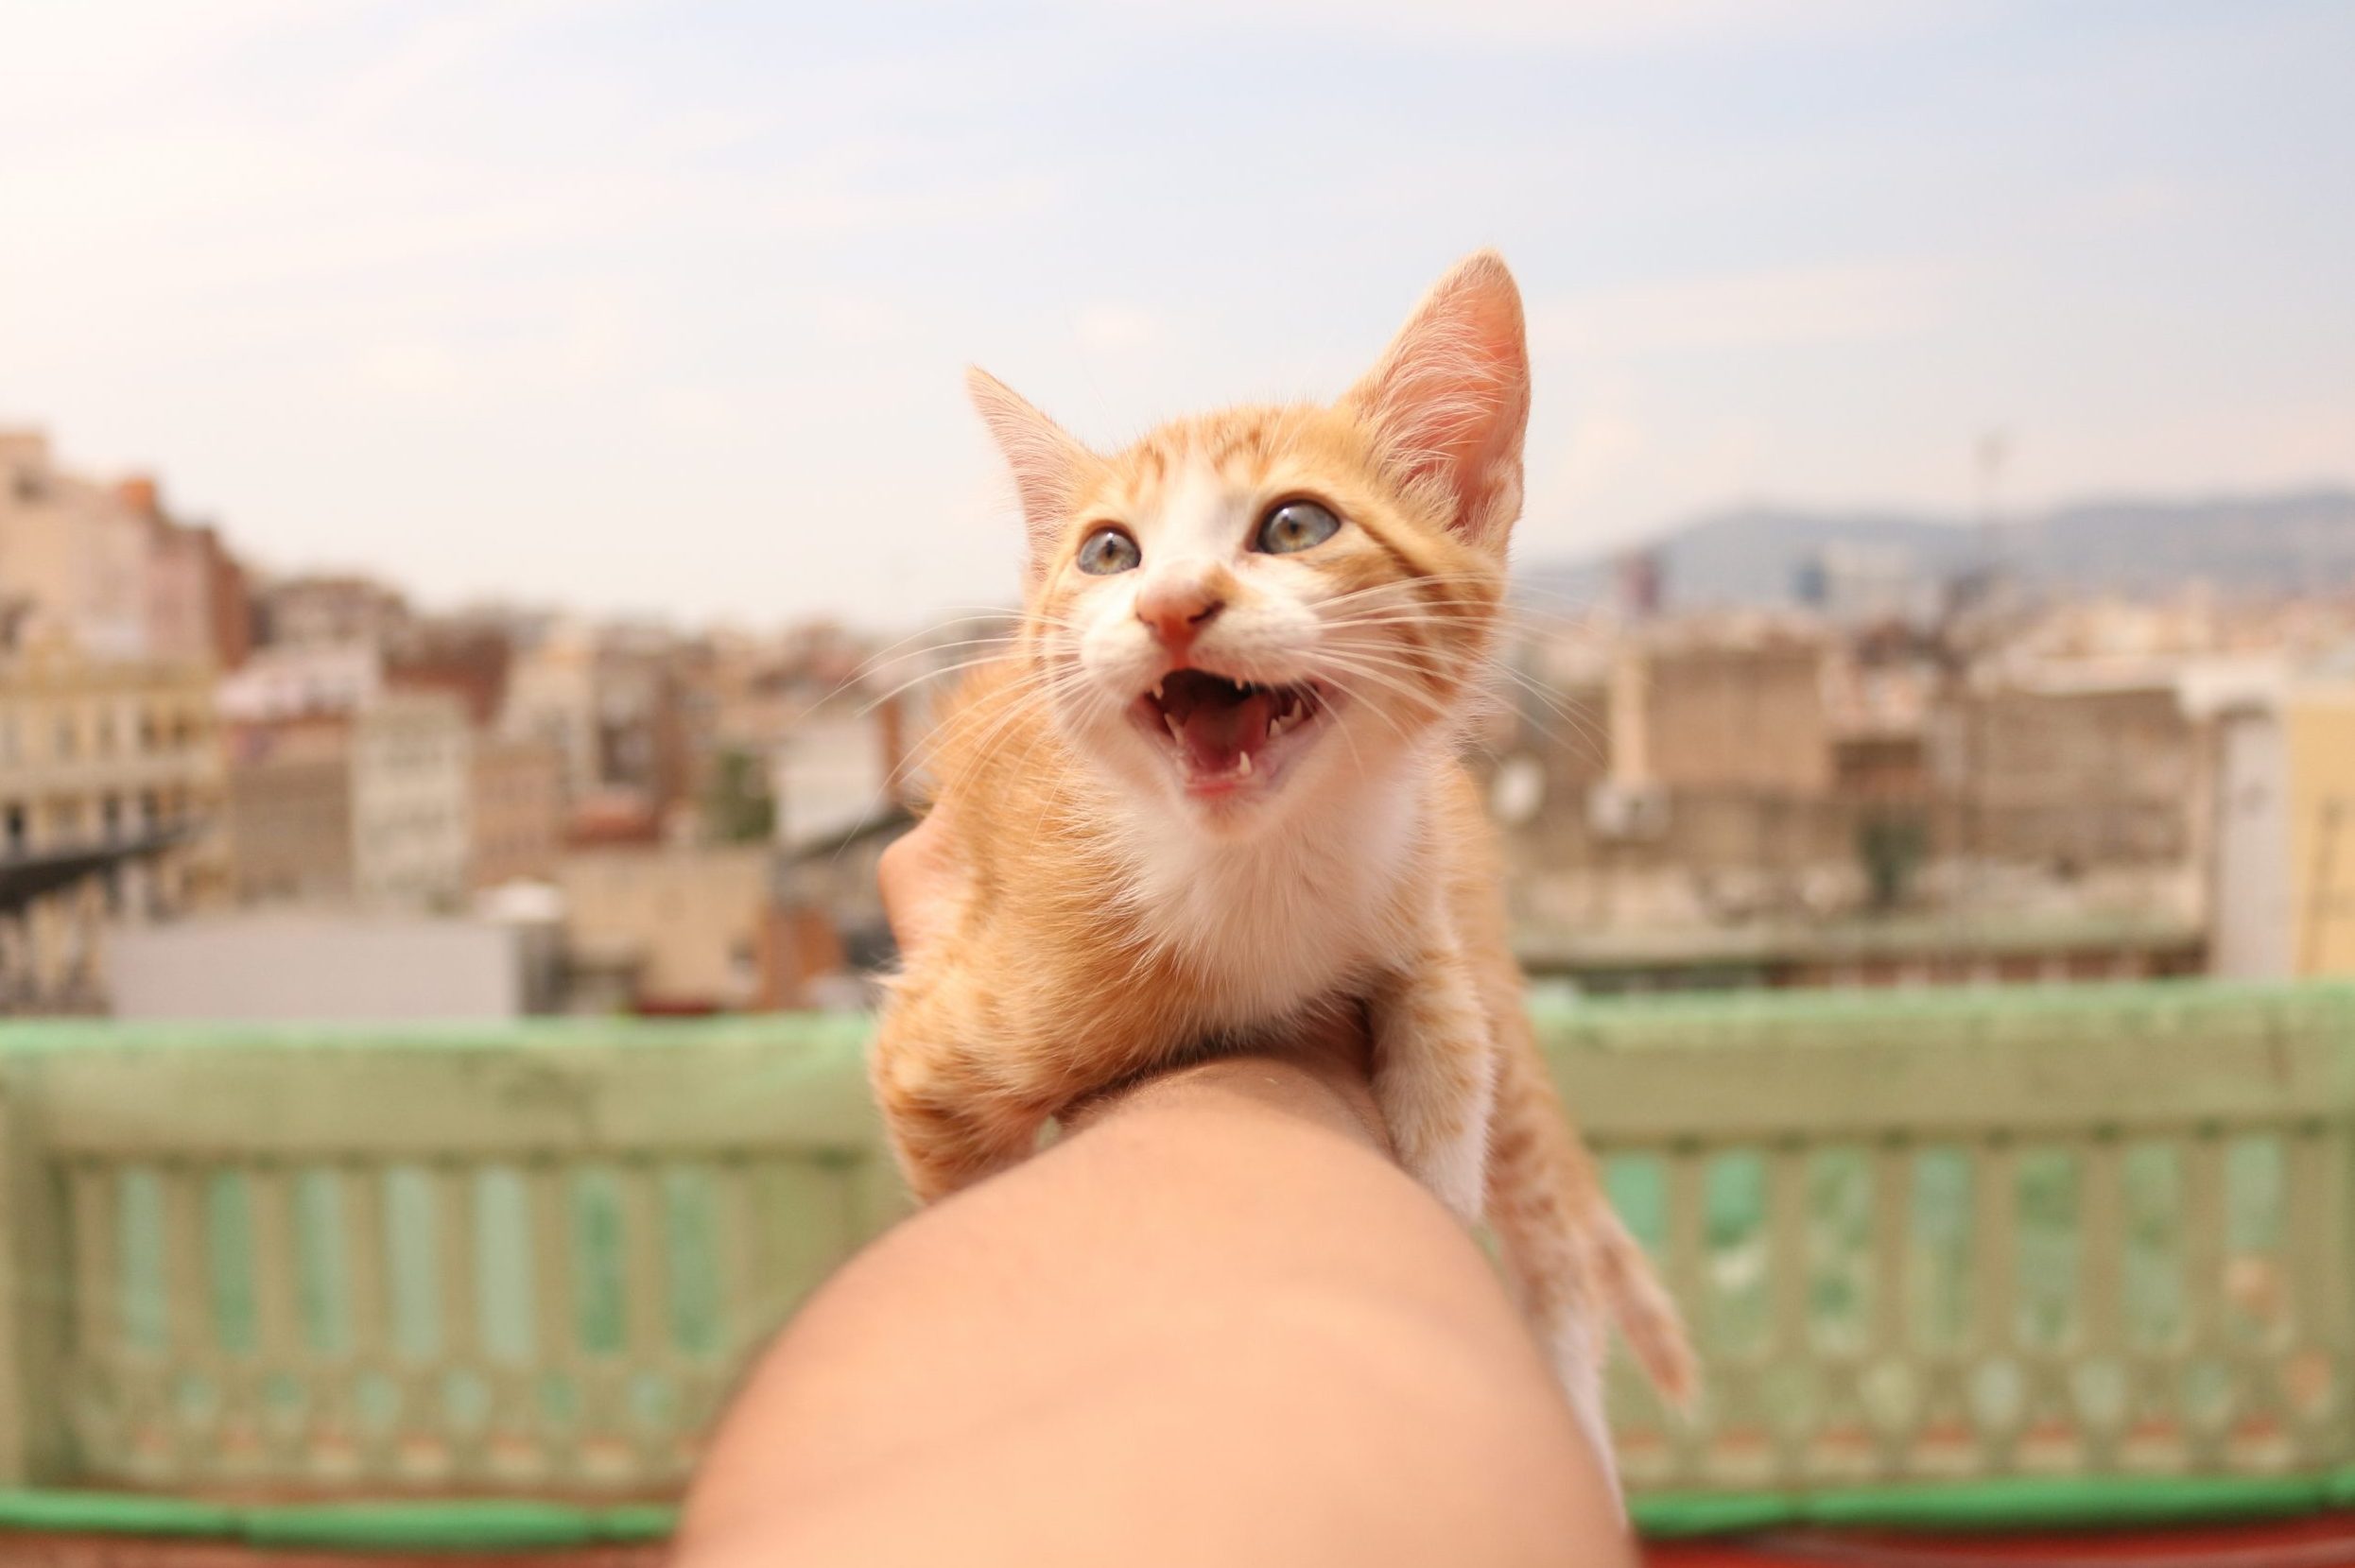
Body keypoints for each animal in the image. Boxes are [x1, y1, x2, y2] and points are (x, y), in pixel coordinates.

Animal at [875, 252, 1686, 1478]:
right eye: (1108, 552)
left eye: (1297, 524)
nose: (1170, 604)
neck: (1255, 871)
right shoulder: (927, 1055)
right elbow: (967, 1199)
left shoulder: (1415, 864)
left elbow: (1439, 990)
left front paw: (1440, 1151)